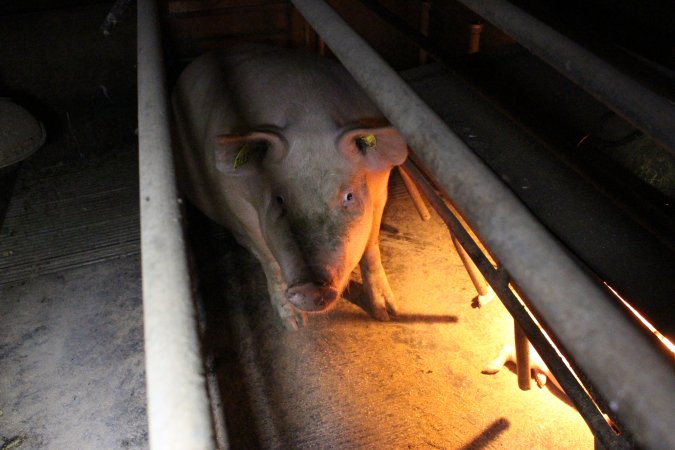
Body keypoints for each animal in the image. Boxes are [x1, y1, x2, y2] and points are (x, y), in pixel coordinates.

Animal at [172, 44, 410, 328]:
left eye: (349, 196)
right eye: (279, 199)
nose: (310, 287)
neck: (310, 122)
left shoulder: (380, 189)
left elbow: (371, 247)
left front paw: (388, 315)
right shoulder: (239, 204)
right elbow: (269, 261)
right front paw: (295, 325)